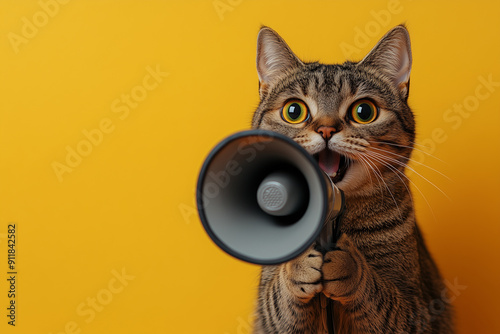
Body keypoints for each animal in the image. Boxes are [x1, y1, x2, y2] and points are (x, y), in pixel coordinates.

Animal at [252, 24, 456, 332]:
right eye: (293, 111)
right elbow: (276, 303)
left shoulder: (419, 311)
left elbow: (383, 299)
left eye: (364, 111)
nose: (326, 129)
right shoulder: (269, 319)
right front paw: (298, 263)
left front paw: (351, 266)